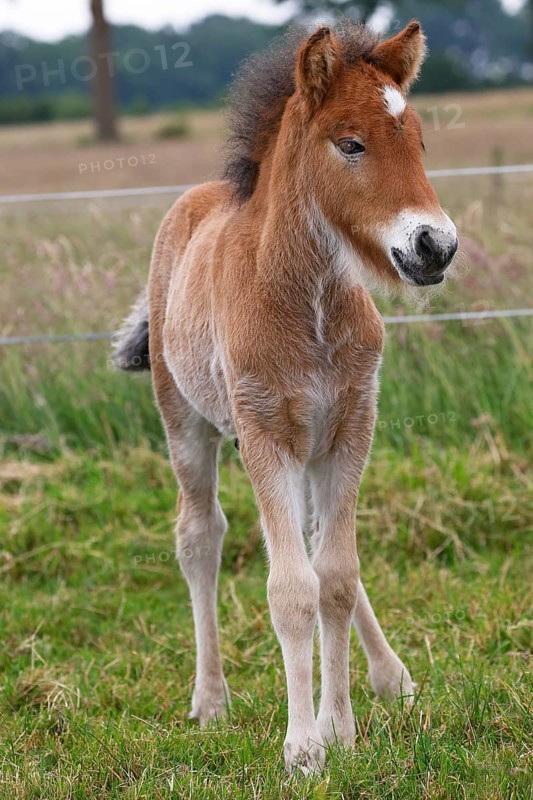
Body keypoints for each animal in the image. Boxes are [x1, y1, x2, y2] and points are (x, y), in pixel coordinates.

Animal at [114, 19, 458, 773]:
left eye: (420, 141)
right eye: (350, 143)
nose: (435, 247)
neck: (311, 305)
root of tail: (195, 198)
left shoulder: (351, 426)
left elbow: (335, 576)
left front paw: (342, 730)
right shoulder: (264, 434)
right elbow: (291, 589)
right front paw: (302, 747)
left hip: (305, 450)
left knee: (312, 543)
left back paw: (390, 676)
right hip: (189, 423)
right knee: (200, 536)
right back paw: (210, 701)